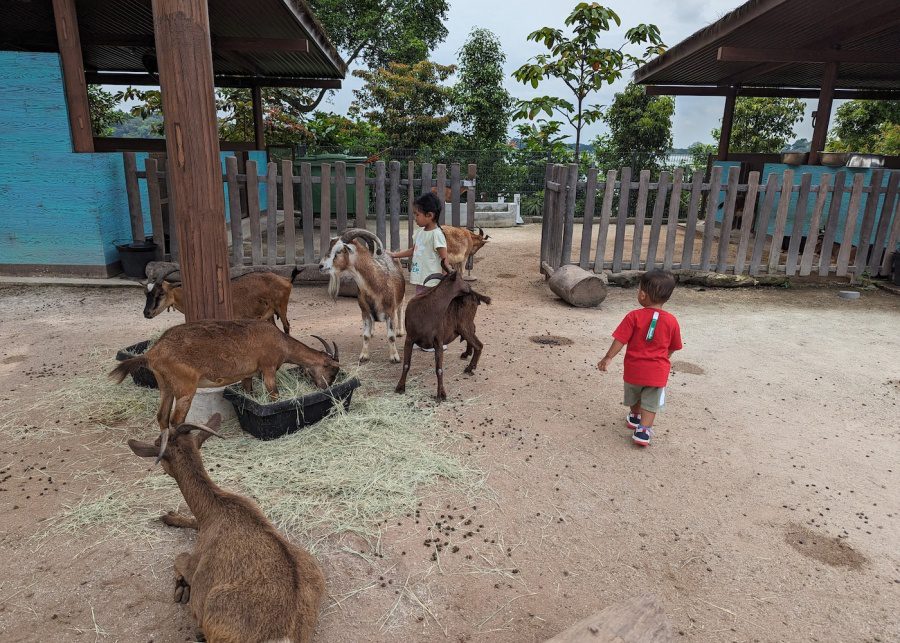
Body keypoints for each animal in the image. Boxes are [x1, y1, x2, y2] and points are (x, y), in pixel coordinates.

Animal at [111, 320, 339, 456]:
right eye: (331, 370)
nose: (326, 386)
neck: (280, 341)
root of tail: (153, 352)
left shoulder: (248, 374)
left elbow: (249, 392)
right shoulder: (268, 368)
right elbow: (273, 395)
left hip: (165, 387)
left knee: (162, 416)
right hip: (185, 388)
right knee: (176, 420)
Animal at [127, 413, 325, 643]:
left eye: (158, 442)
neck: (215, 510)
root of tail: (285, 634)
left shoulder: (197, 563)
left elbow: (179, 557)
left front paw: (181, 588)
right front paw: (170, 517)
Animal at [143, 270, 296, 335]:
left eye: (161, 293)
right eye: (146, 293)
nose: (147, 313)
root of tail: (286, 280)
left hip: (281, 307)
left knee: (286, 326)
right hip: (269, 314)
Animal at [318, 228, 406, 363]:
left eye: (338, 251)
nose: (321, 266)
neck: (377, 283)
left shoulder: (390, 311)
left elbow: (391, 336)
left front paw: (394, 357)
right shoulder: (365, 312)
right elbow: (365, 335)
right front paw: (363, 356)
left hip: (400, 298)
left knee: (400, 309)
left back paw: (400, 331)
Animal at [395, 267, 490, 401]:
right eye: (461, 279)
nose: (469, 287)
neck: (427, 310)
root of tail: (476, 297)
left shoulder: (438, 341)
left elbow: (439, 369)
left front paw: (441, 393)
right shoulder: (409, 339)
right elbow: (406, 365)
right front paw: (400, 387)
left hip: (464, 325)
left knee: (479, 345)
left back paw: (469, 367)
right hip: (466, 325)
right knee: (475, 338)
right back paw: (467, 354)